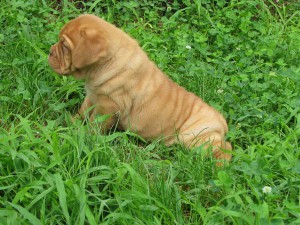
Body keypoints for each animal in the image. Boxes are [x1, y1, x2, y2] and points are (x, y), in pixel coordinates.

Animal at [48, 14, 232, 162]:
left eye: (65, 46)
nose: (50, 51)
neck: (104, 64)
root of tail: (222, 122)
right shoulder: (92, 96)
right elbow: (82, 112)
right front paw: (71, 123)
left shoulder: (107, 107)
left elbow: (95, 124)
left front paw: (85, 137)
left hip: (197, 139)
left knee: (225, 150)